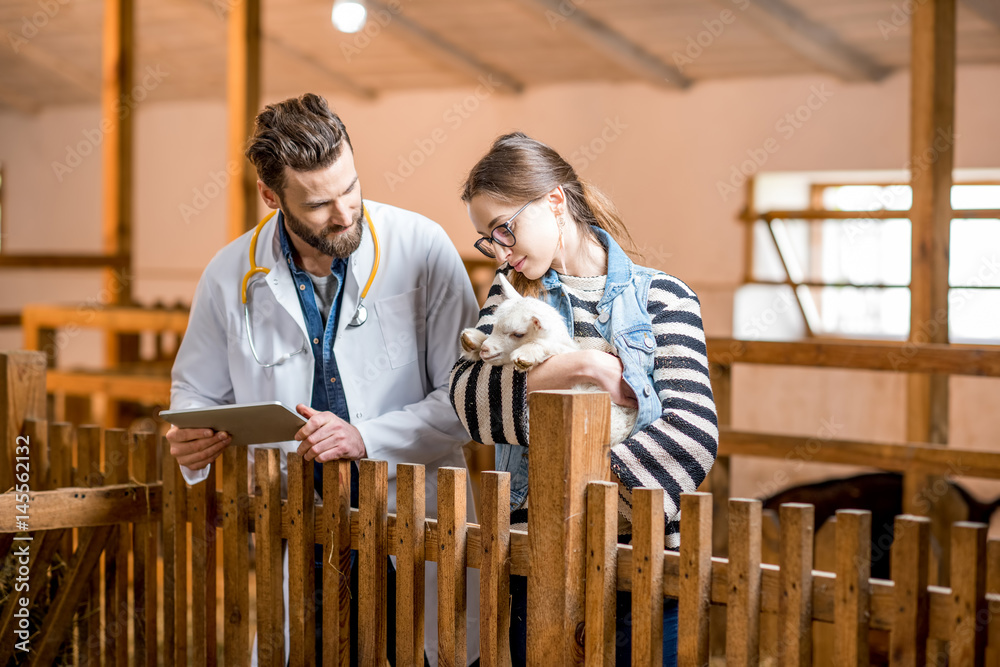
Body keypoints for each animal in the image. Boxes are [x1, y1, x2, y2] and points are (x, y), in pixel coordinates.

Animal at [458, 274, 636, 446]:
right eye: (494, 327)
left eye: (518, 334)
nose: (485, 350)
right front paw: (473, 340)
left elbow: (551, 347)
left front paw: (527, 354)